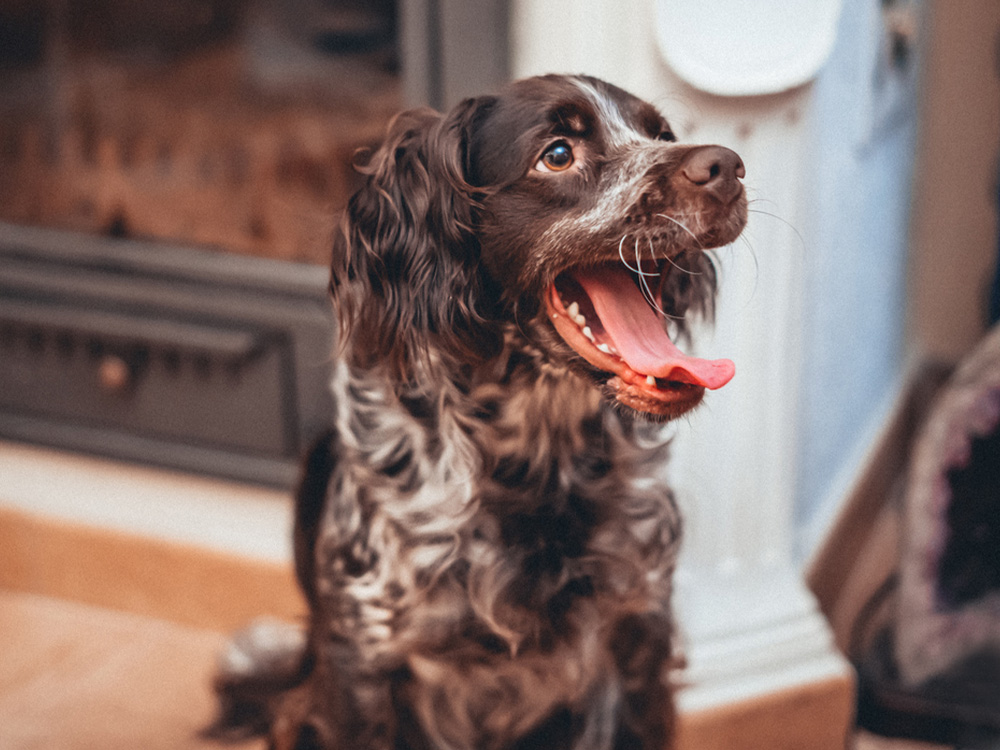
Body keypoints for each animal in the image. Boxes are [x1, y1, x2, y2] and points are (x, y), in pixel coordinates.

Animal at [209, 72, 744, 750]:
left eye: (661, 134)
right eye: (558, 154)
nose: (726, 167)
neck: (535, 463)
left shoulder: (640, 639)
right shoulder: (361, 665)